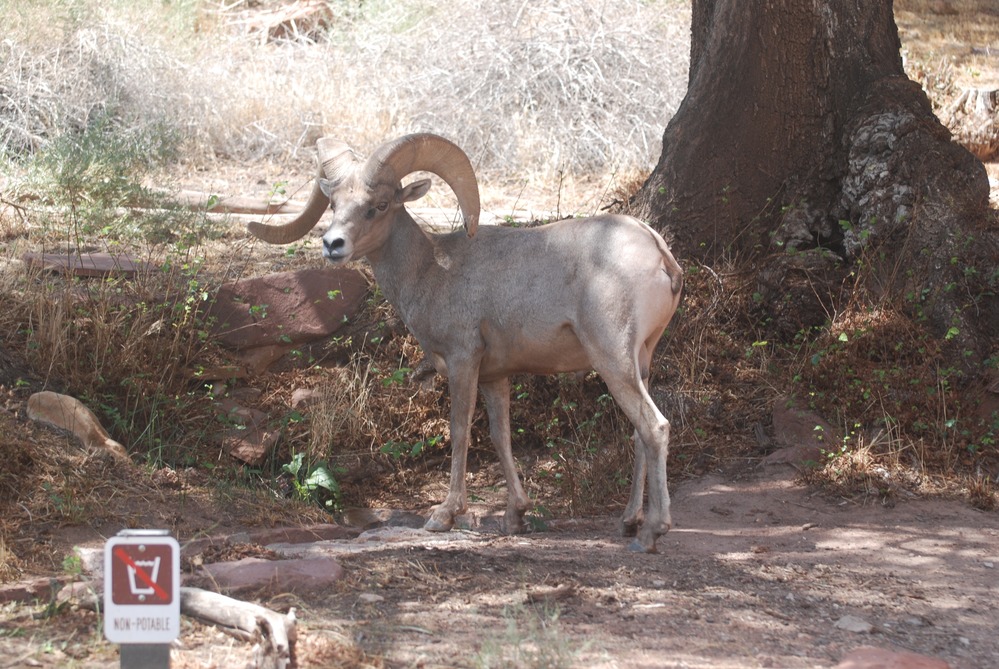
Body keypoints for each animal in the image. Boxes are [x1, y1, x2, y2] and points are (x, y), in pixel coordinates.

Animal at [248, 133, 683, 553]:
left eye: (380, 205)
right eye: (334, 204)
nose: (332, 245)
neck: (430, 271)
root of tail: (659, 252)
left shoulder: (462, 362)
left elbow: (460, 431)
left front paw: (444, 515)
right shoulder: (494, 377)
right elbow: (499, 435)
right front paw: (515, 516)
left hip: (613, 359)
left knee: (655, 426)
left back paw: (652, 533)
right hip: (640, 361)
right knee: (639, 434)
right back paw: (628, 522)